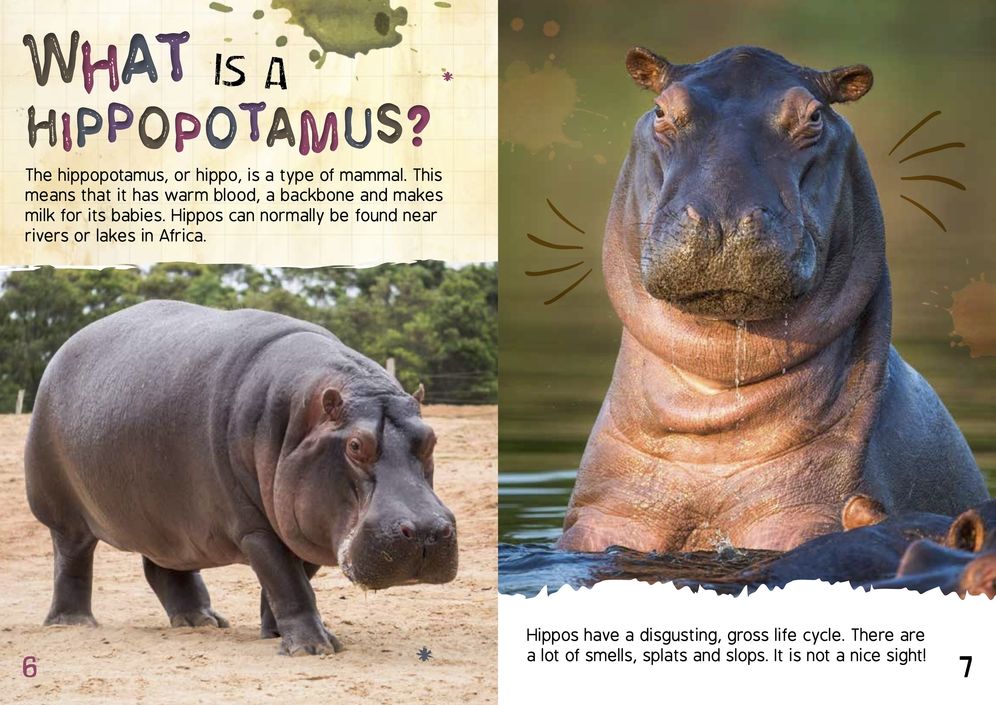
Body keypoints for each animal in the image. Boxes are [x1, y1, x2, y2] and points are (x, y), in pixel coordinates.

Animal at [25, 300, 457, 655]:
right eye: (355, 445)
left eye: (431, 438)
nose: (426, 532)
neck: (301, 422)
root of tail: (64, 347)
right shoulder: (255, 527)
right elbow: (287, 581)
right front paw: (314, 648)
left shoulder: (301, 523)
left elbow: (290, 580)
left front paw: (276, 633)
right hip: (63, 512)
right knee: (72, 559)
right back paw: (73, 623)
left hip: (167, 518)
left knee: (165, 568)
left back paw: (201, 621)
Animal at [560, 45, 989, 553]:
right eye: (662, 110)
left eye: (814, 116)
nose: (722, 218)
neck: (714, 403)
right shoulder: (607, 517)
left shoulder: (806, 514)